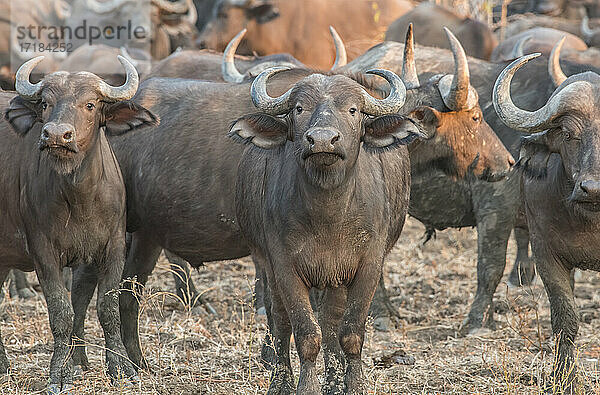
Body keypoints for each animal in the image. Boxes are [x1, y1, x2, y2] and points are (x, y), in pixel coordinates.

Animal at [0, 55, 155, 392]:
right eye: (45, 103)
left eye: (90, 104)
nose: (57, 135)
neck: (78, 197)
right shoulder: (43, 252)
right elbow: (61, 312)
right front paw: (60, 372)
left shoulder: (113, 248)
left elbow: (105, 308)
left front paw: (121, 367)